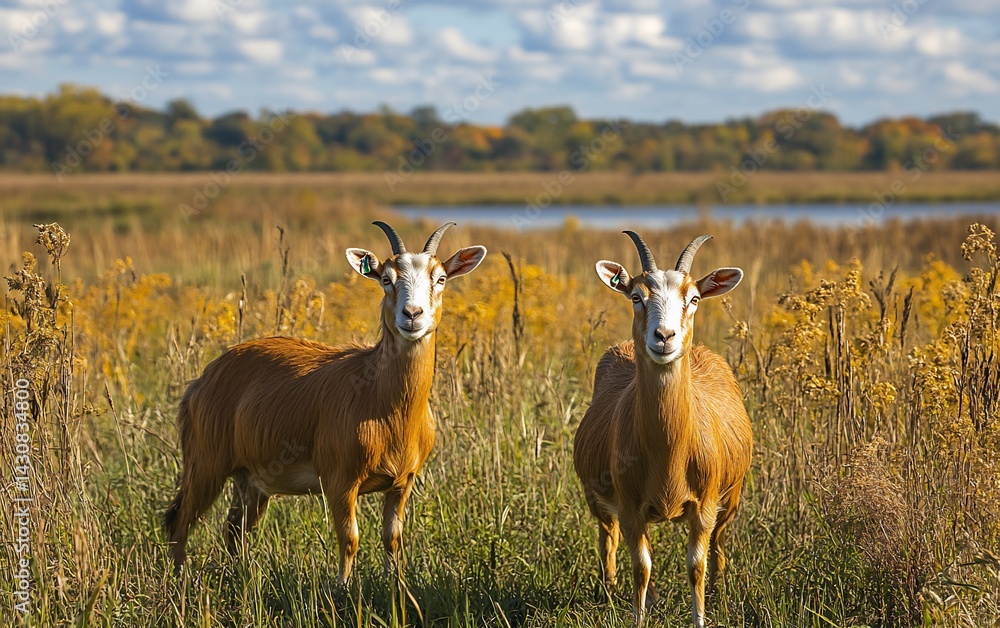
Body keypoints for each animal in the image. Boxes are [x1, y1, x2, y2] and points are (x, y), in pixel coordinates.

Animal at [164, 221, 487, 582]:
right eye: (386, 279)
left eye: (440, 278)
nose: (412, 315)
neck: (387, 406)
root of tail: (202, 381)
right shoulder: (340, 482)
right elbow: (349, 539)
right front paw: (342, 588)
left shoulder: (402, 484)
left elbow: (392, 539)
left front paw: (395, 584)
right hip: (206, 465)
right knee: (180, 521)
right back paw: (179, 581)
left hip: (249, 478)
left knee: (233, 527)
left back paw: (241, 574)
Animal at [573, 232, 753, 627]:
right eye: (636, 296)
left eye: (694, 298)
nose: (664, 336)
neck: (670, 449)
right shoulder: (630, 506)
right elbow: (641, 566)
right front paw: (639, 617)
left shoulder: (704, 506)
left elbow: (696, 566)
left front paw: (700, 618)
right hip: (598, 499)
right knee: (609, 539)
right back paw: (613, 593)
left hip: (730, 499)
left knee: (720, 544)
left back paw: (720, 595)